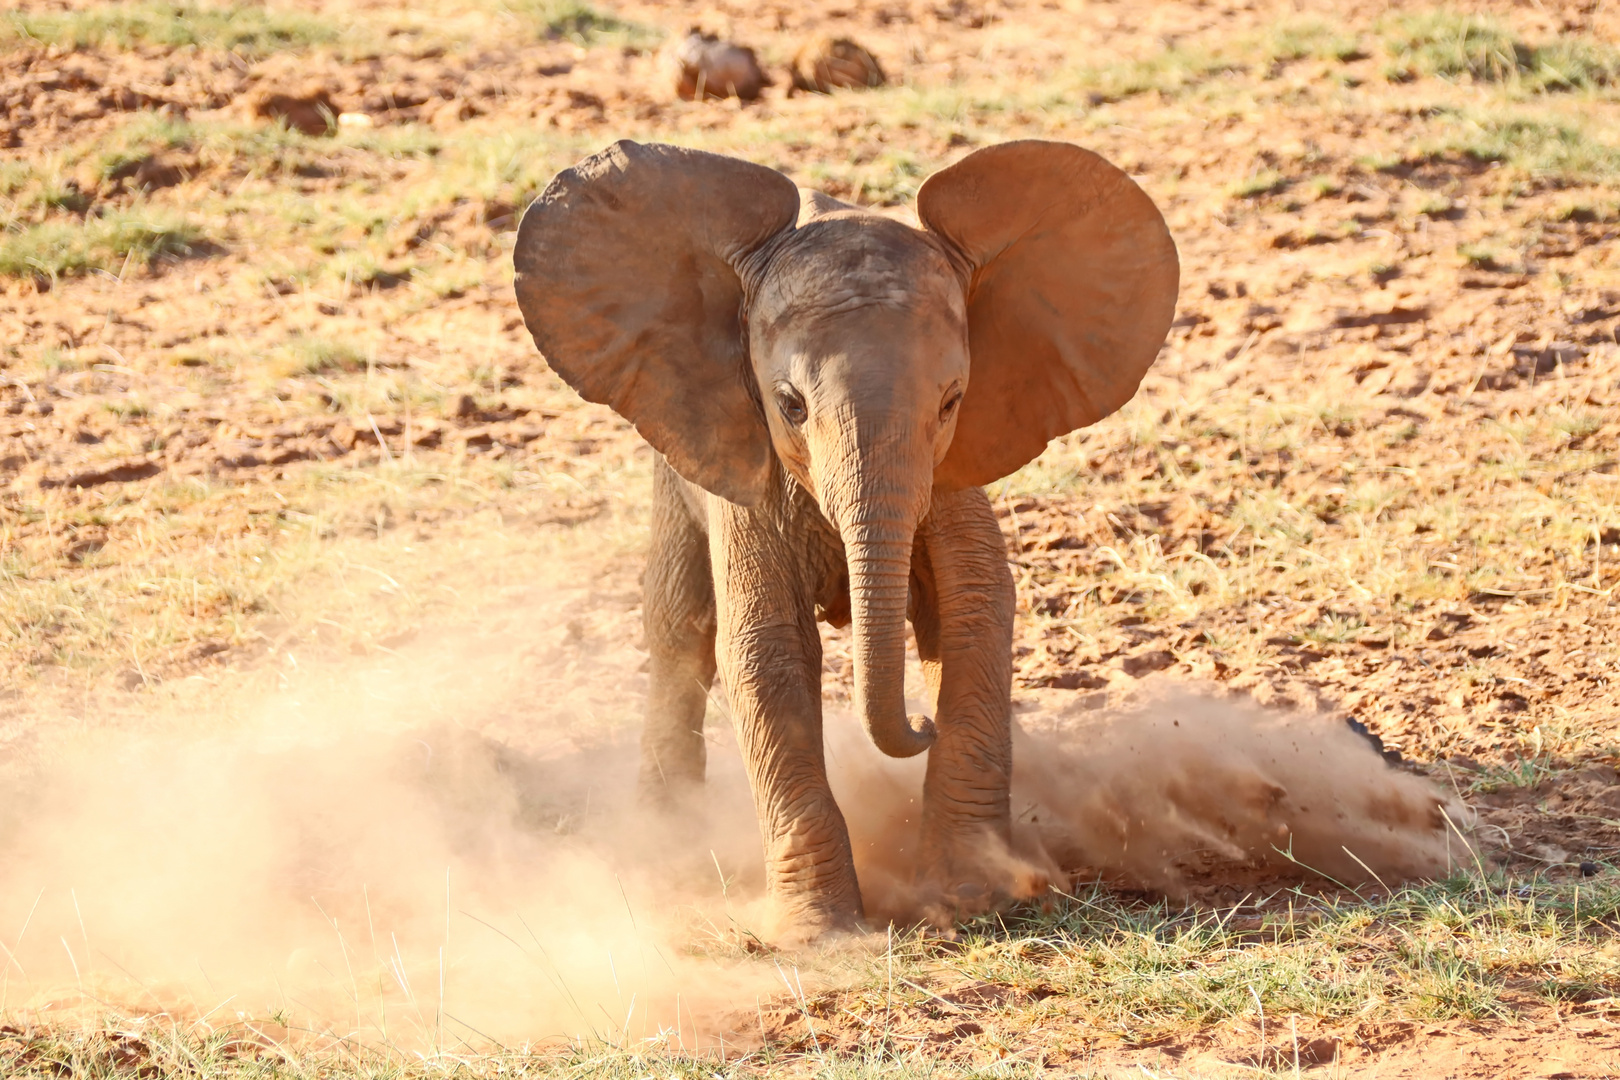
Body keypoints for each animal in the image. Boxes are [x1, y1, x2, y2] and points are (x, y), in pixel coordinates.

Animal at [515, 141, 1179, 939]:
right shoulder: (746, 468)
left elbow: (972, 614)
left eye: (952, 401)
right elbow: (763, 649)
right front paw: (821, 935)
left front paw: (977, 896)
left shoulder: (953, 470)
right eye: (790, 405)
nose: (919, 723)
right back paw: (667, 844)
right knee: (680, 628)